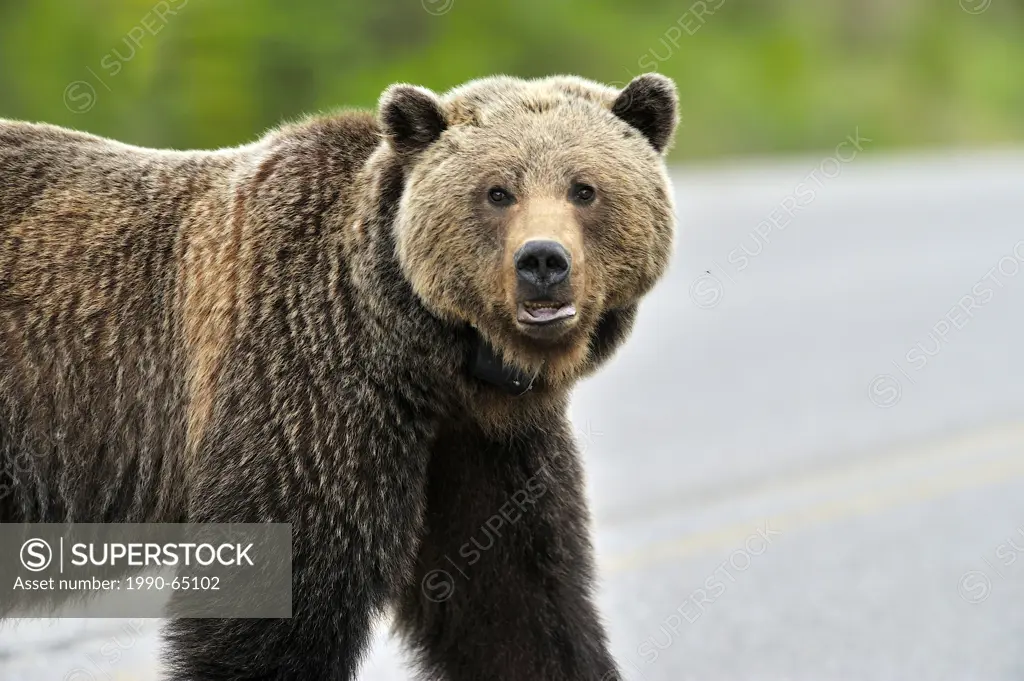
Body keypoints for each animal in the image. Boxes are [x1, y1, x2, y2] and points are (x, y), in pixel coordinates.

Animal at [0, 71, 679, 675]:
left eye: (584, 189)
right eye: (497, 191)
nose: (542, 262)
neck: (429, 360)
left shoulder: (480, 445)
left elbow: (514, 601)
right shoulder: (309, 386)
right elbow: (280, 598)